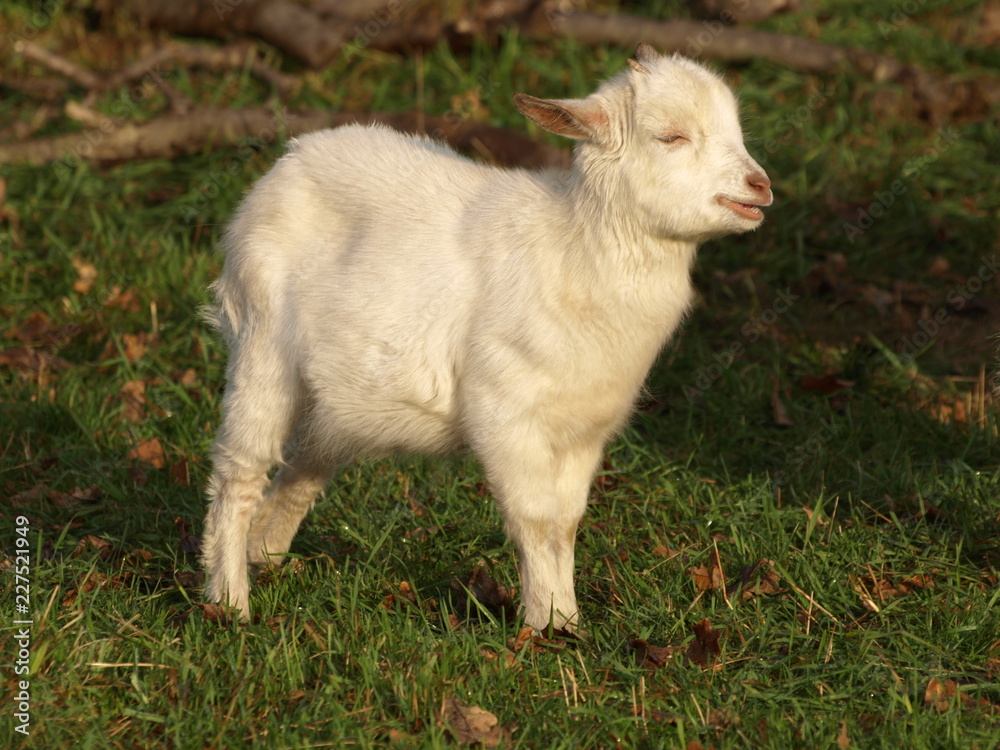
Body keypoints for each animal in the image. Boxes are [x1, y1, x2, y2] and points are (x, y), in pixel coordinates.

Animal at [202, 44, 772, 631]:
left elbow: (566, 523)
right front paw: (543, 625)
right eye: (671, 137)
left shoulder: (584, 429)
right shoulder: (505, 413)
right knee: (237, 471)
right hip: (261, 342)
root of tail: (289, 159)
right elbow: (535, 519)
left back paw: (263, 551)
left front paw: (568, 621)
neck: (573, 248)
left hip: (338, 395)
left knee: (304, 459)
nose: (760, 186)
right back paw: (230, 599)